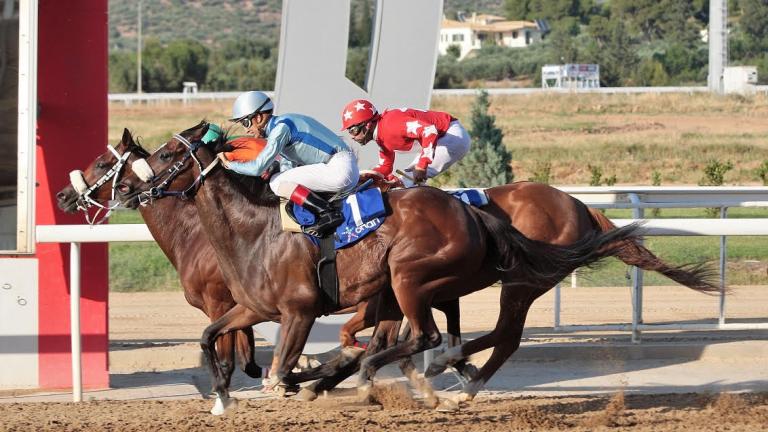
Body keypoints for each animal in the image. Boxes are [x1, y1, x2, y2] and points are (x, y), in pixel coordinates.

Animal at [55, 128, 262, 388]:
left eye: (101, 163)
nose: (62, 195)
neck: (195, 234)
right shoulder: (239, 307)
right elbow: (249, 363)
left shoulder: (219, 303)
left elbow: (228, 363)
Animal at [114, 121, 640, 412]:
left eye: (167, 154)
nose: (130, 188)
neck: (255, 230)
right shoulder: (251, 307)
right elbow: (211, 339)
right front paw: (223, 397)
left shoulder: (300, 311)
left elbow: (282, 370)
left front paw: (308, 380)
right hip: (414, 285)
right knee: (449, 337)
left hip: (424, 278)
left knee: (447, 336)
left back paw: (431, 375)